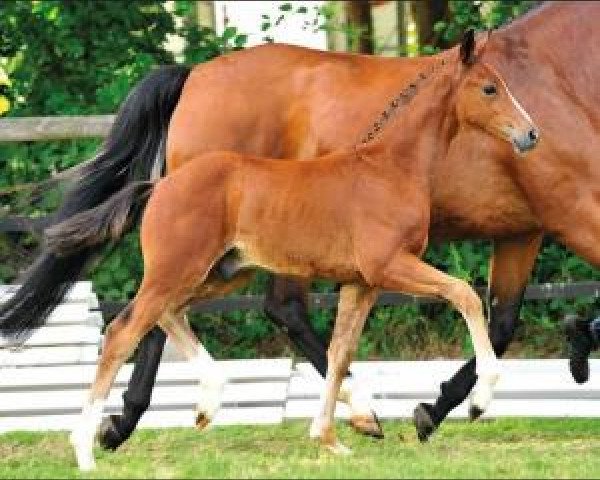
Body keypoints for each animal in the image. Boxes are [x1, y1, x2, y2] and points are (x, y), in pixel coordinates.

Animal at [50, 31, 540, 470]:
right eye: (490, 87)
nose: (531, 134)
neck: (389, 167)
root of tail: (159, 185)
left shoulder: (360, 284)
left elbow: (340, 355)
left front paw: (329, 438)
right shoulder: (389, 266)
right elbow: (465, 294)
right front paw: (481, 399)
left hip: (224, 273)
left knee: (168, 314)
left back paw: (208, 402)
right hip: (179, 270)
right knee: (123, 331)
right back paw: (85, 449)